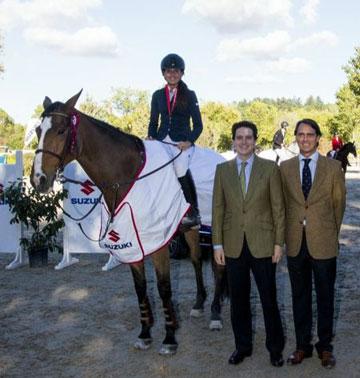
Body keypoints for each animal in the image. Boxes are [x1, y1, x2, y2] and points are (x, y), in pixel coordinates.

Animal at [29, 90, 225, 356]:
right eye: (39, 130)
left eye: (60, 131)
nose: (38, 180)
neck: (126, 174)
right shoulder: (131, 240)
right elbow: (140, 287)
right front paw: (145, 333)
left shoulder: (158, 242)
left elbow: (163, 287)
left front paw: (169, 338)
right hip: (193, 229)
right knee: (196, 260)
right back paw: (198, 304)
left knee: (218, 267)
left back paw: (216, 315)